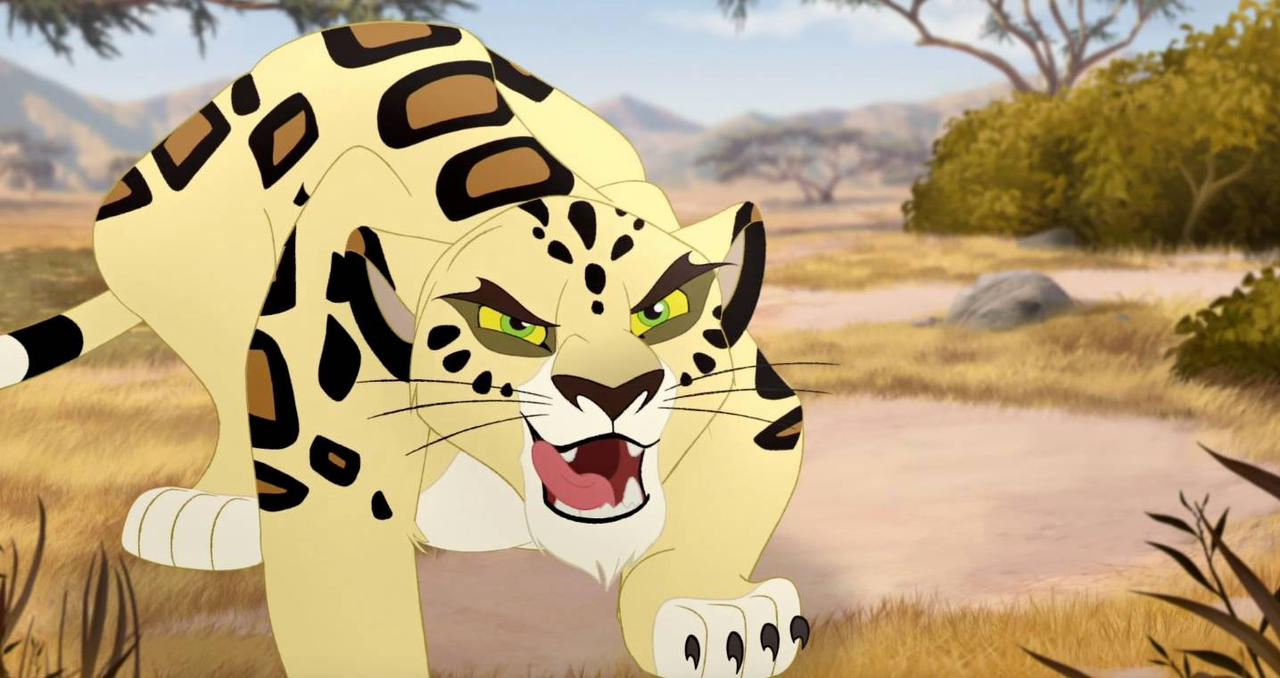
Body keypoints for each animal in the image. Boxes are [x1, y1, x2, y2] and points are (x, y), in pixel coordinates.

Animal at [0, 21, 810, 678]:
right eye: (508, 324)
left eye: (663, 311)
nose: (615, 393)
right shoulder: (325, 469)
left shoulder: (761, 409)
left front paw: (719, 615)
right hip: (159, 239)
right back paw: (213, 507)